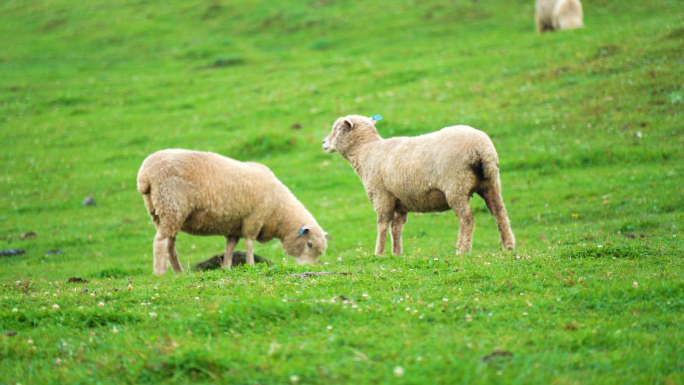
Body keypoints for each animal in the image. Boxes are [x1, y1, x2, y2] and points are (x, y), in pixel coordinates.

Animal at [136, 148, 326, 274]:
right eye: (309, 244)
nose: (308, 268)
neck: (278, 209)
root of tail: (145, 174)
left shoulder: (235, 226)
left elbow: (230, 246)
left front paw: (226, 267)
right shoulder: (254, 217)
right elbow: (249, 242)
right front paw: (250, 264)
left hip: (160, 213)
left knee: (170, 244)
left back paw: (178, 272)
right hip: (171, 205)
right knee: (160, 242)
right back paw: (160, 273)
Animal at [324, 115, 516, 256]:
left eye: (338, 129)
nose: (324, 143)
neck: (367, 151)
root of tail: (482, 149)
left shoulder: (382, 195)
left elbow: (383, 224)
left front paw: (379, 253)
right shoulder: (400, 200)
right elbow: (396, 227)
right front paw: (396, 254)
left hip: (456, 185)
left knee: (467, 218)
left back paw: (462, 250)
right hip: (490, 182)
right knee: (500, 212)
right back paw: (508, 246)